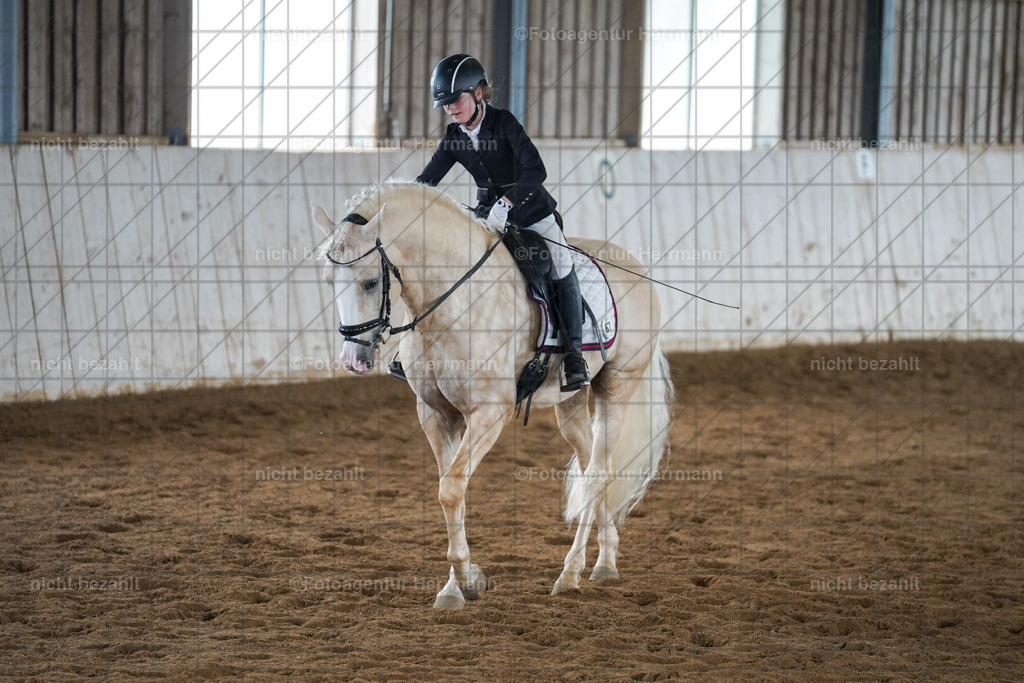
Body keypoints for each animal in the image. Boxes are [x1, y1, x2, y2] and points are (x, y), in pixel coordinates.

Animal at [312, 180, 673, 609]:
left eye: (370, 281)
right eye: (328, 281)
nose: (354, 359)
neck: (450, 301)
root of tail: (635, 266)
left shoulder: (488, 413)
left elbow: (451, 489)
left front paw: (465, 581)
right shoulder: (436, 414)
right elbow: (453, 491)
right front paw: (456, 586)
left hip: (617, 384)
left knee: (600, 470)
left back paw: (570, 574)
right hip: (570, 401)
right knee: (591, 469)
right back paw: (605, 561)